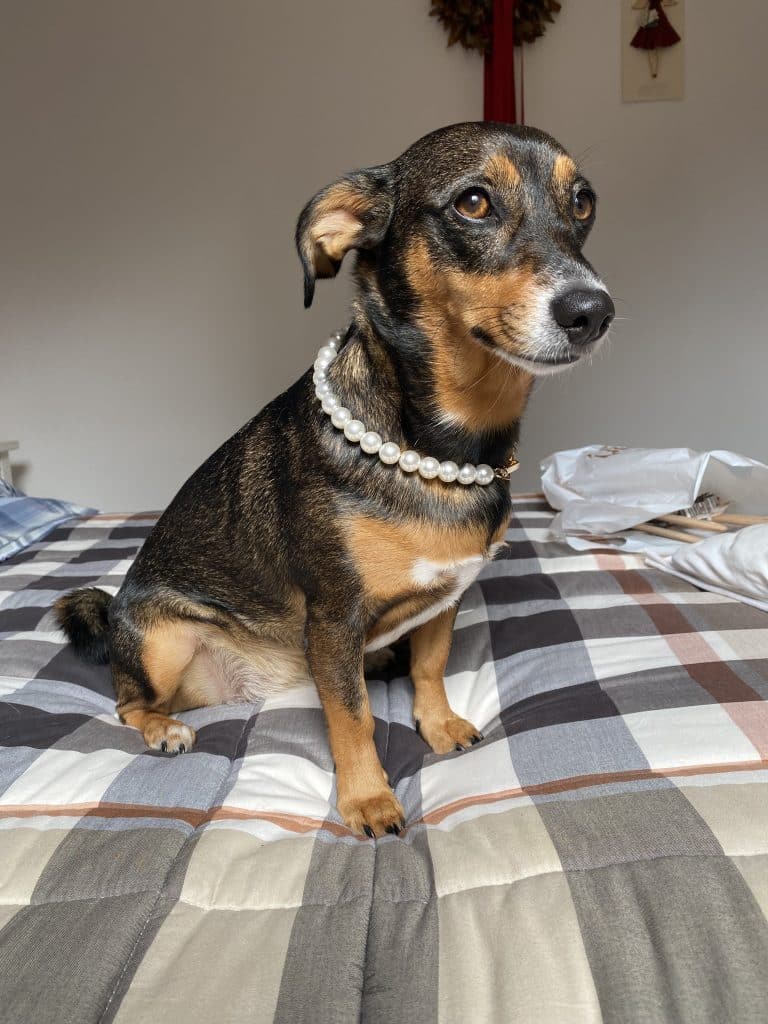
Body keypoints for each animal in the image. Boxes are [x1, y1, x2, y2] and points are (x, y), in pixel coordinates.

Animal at [55, 122, 613, 838]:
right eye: (474, 203)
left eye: (583, 202)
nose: (593, 312)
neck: (446, 451)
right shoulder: (334, 616)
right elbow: (353, 719)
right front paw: (369, 800)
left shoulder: (446, 598)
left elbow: (430, 668)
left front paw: (439, 727)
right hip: (160, 637)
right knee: (127, 703)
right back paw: (163, 730)